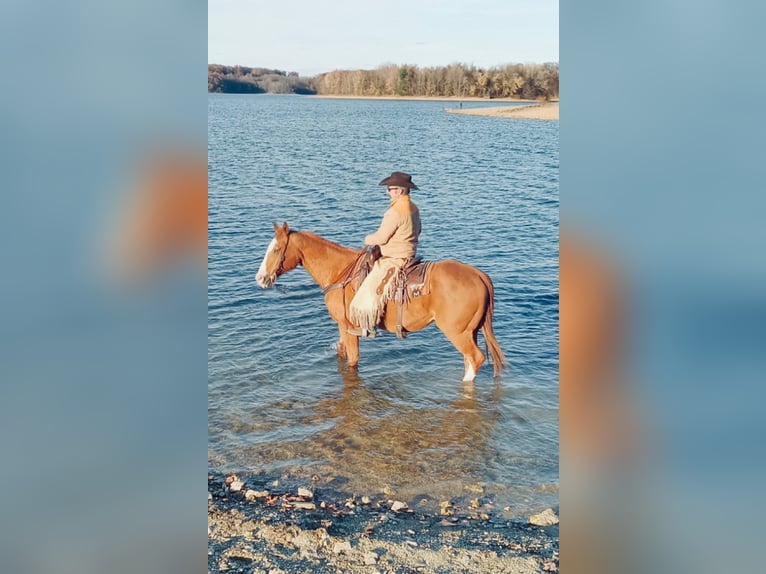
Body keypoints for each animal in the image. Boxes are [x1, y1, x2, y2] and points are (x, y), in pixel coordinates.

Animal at [255, 222, 507, 382]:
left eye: (276, 249)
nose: (260, 278)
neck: (340, 272)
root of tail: (478, 275)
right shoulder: (343, 328)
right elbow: (342, 353)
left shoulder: (348, 327)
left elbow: (353, 360)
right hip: (470, 332)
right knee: (470, 360)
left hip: (457, 332)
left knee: (475, 359)